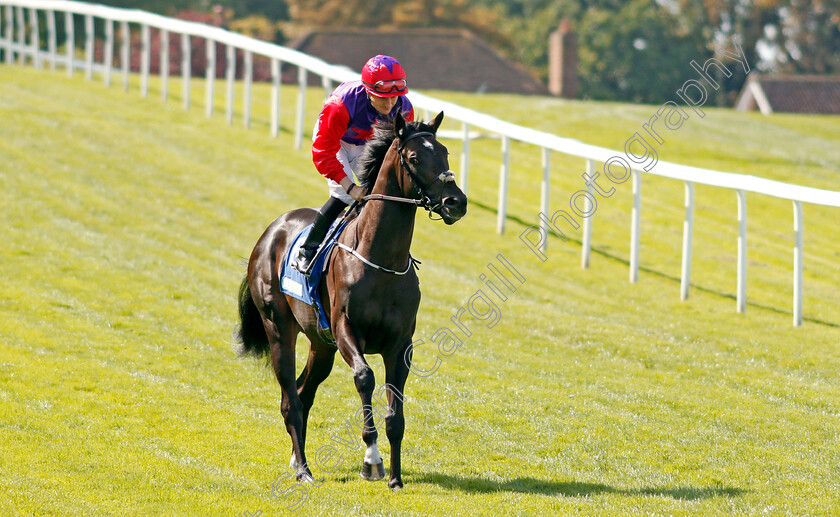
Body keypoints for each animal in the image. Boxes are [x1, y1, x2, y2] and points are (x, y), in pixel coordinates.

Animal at [236, 112, 466, 488]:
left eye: (445, 153)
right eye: (415, 158)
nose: (456, 202)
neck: (381, 261)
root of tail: (271, 231)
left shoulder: (400, 344)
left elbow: (395, 412)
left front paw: (396, 478)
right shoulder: (346, 331)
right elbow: (365, 378)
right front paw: (372, 460)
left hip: (321, 344)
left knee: (303, 392)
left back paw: (297, 457)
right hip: (279, 329)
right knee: (290, 400)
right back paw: (303, 469)